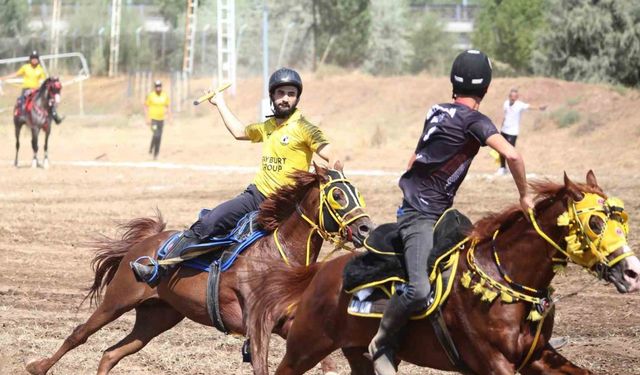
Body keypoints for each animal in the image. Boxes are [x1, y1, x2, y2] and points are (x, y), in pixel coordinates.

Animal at [26, 166, 376, 375]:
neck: (278, 257)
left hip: (157, 317)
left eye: (358, 192)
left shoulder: (290, 325)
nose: (365, 228)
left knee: (112, 353)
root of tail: (144, 244)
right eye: (338, 194)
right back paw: (37, 366)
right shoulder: (257, 326)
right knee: (79, 334)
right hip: (118, 299)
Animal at [248, 172, 640, 374]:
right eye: (594, 223)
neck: (504, 275)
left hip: (355, 351)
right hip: (305, 347)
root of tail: (321, 272)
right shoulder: (493, 363)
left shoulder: (539, 357)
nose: (632, 272)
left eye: (621, 221)